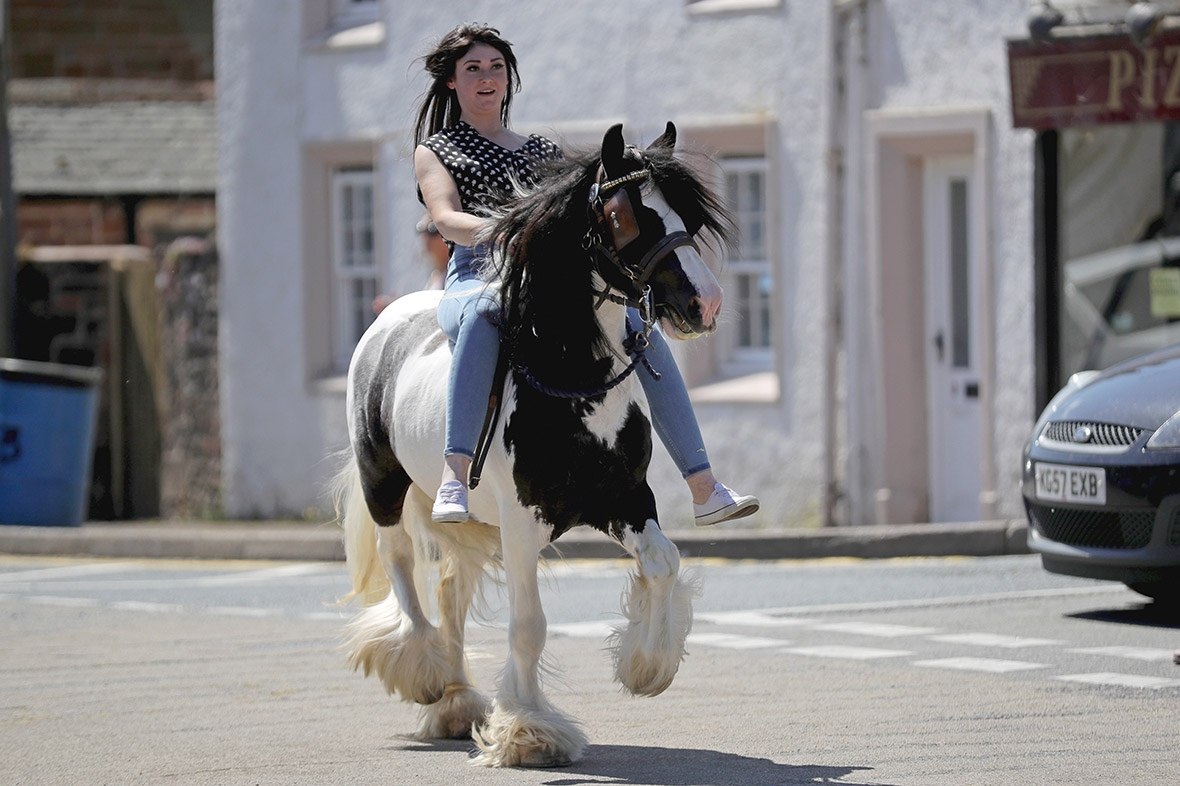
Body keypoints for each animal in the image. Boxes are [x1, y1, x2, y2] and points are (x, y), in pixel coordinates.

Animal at [332, 123, 731, 764]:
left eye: (687, 215)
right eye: (623, 215)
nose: (705, 303)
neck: (569, 378)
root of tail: (387, 319)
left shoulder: (623, 499)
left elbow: (664, 562)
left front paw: (646, 668)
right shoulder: (521, 521)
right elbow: (528, 626)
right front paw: (529, 732)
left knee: (450, 592)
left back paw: (456, 702)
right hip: (384, 485)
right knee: (403, 569)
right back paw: (424, 672)